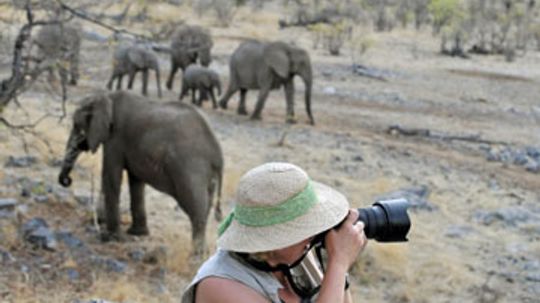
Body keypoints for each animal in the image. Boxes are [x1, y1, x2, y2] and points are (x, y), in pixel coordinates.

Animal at [57, 89, 221, 254]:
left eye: (76, 125)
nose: (67, 180)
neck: (107, 97)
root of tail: (218, 154)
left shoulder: (116, 138)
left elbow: (111, 177)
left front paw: (111, 238)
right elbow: (135, 182)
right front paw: (137, 233)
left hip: (191, 169)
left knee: (196, 209)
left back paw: (196, 256)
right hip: (206, 174)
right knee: (205, 209)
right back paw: (204, 253)